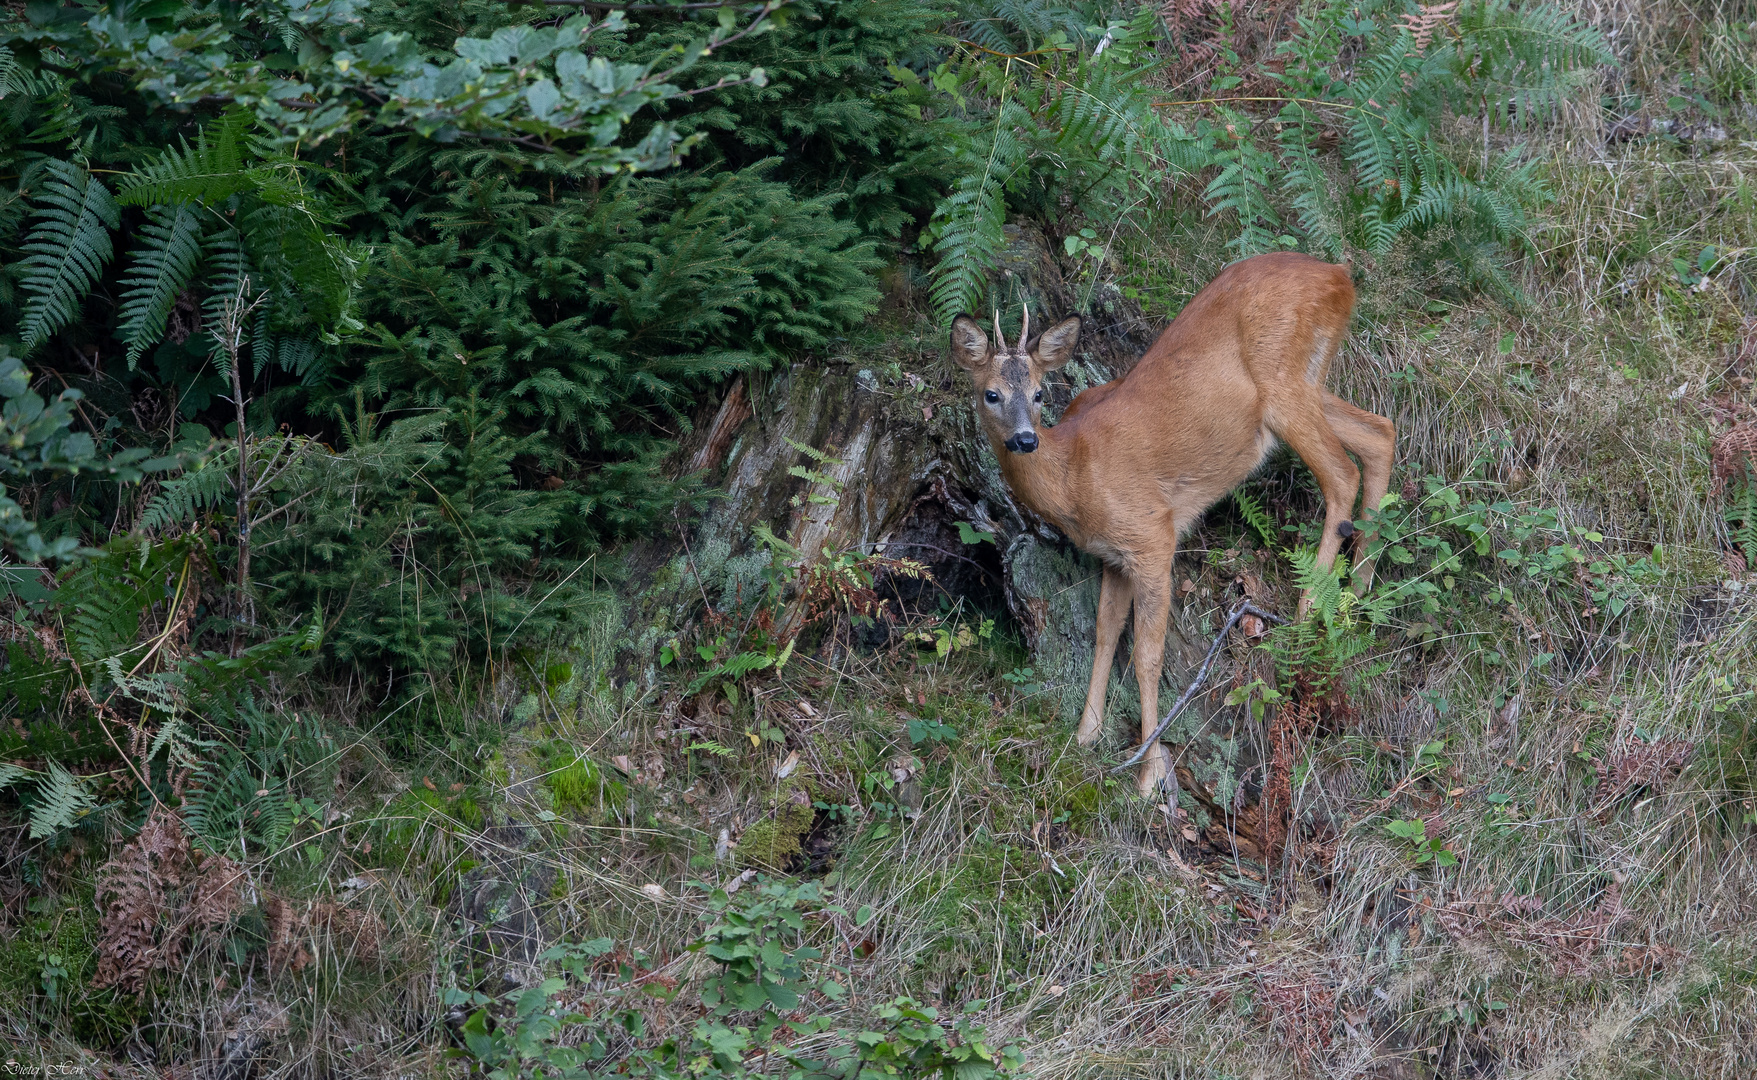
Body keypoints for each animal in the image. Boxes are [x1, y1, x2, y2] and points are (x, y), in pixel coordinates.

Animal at [955, 251, 1391, 793]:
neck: (1075, 475)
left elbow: (1147, 657)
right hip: (1312, 380)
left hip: (1284, 382)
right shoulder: (1114, 556)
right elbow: (1105, 635)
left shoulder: (1152, 535)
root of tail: (1339, 276)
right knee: (1380, 433)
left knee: (1342, 474)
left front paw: (1147, 775)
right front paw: (1084, 735)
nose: (1024, 440)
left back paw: (1307, 615)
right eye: (991, 394)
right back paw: (1359, 595)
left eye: (1038, 393)